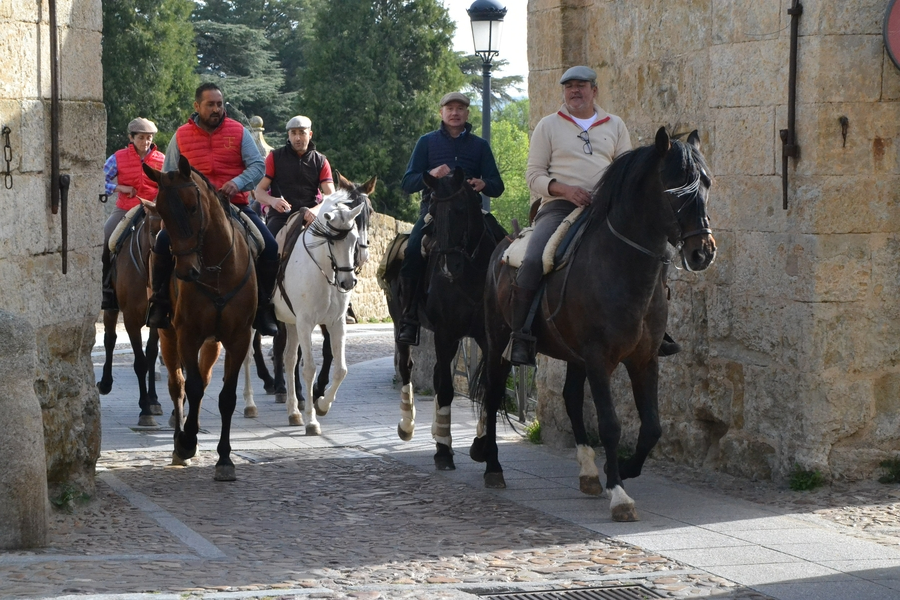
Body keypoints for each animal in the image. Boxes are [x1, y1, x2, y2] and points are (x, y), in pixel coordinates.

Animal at [96, 206, 164, 426]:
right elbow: (140, 362)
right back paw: (105, 383)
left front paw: (153, 400)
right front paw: (145, 410)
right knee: (109, 340)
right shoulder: (131, 319)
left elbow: (151, 353)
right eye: (152, 231)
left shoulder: (158, 320)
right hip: (111, 307)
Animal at [141, 155, 256, 481]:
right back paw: (178, 443)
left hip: (212, 343)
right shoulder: (187, 335)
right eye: (163, 211)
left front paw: (225, 459)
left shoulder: (237, 339)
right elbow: (189, 388)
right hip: (168, 336)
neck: (216, 270)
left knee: (202, 382)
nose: (186, 271)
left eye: (193, 206)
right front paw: (187, 441)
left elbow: (225, 397)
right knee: (177, 385)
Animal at [273, 186, 369, 433]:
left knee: (288, 358)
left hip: (290, 322)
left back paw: (293, 411)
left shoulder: (336, 323)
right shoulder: (306, 323)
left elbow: (341, 369)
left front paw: (322, 405)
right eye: (332, 242)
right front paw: (312, 421)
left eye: (353, 239)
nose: (347, 282)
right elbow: (308, 368)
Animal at [385, 167, 505, 470]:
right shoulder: (446, 332)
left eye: (461, 208)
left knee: (438, 373)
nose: (450, 267)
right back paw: (409, 426)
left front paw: (480, 445)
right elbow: (448, 389)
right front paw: (443, 451)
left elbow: (488, 388)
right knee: (407, 367)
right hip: (400, 322)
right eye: (434, 212)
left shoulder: (487, 338)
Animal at [471, 128, 717, 522]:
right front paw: (619, 494)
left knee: (571, 399)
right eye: (674, 188)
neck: (621, 265)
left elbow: (652, 427)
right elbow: (611, 424)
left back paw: (587, 472)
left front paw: (625, 470)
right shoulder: (600, 358)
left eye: (706, 183)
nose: (702, 252)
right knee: (493, 395)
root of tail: (503, 247)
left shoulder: (644, 359)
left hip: (573, 355)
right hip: (499, 345)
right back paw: (493, 468)